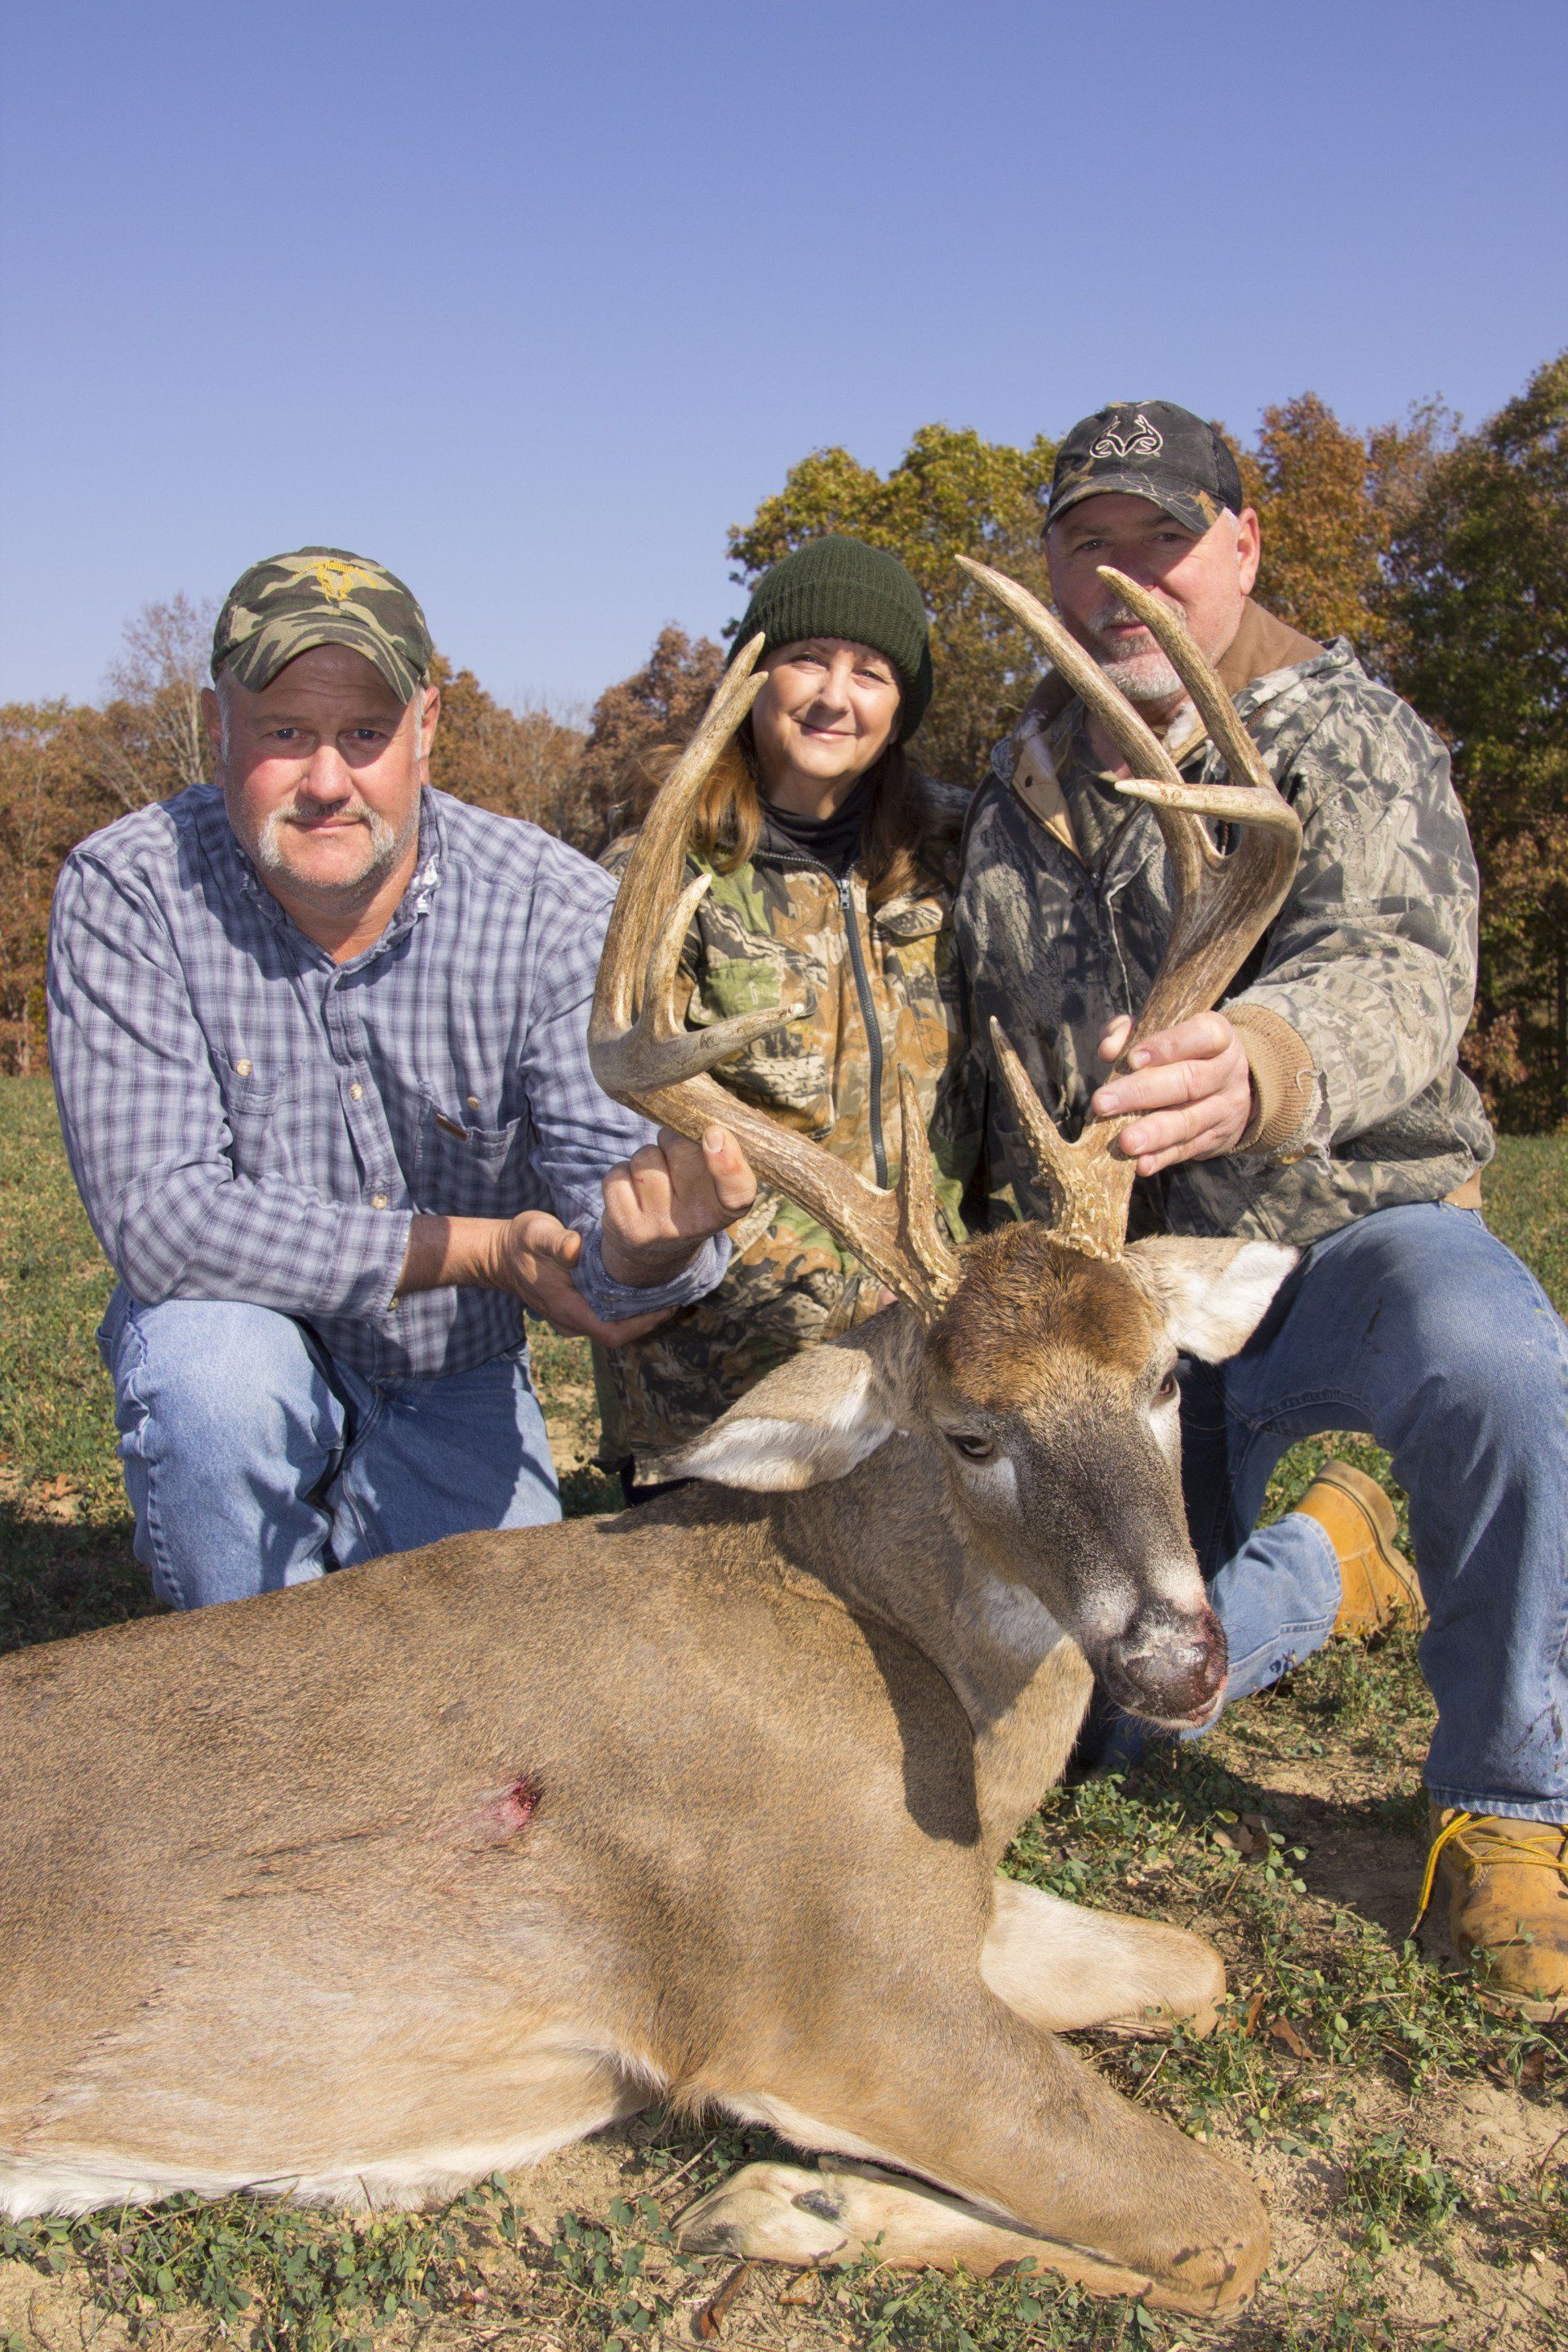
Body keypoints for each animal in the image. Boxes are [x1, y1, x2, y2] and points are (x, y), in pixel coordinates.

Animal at [0, 564, 1303, 2320]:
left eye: (1166, 1376)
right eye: (970, 1432)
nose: (1178, 1659)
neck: (932, 1707)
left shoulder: (946, 1918)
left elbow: (1195, 1960)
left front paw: (805, 2209)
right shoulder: (814, 1975)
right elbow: (1219, 2221)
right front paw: (786, 2205)